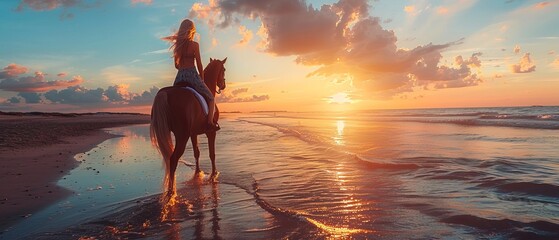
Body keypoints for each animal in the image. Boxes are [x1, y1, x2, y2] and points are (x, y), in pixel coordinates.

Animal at [151, 58, 228, 195]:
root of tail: (165, 93)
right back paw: (171, 191)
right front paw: (213, 174)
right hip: (182, 136)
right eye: (223, 69)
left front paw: (198, 172)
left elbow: (196, 152)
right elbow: (212, 154)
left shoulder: (193, 133)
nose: (223, 85)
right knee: (173, 159)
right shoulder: (211, 132)